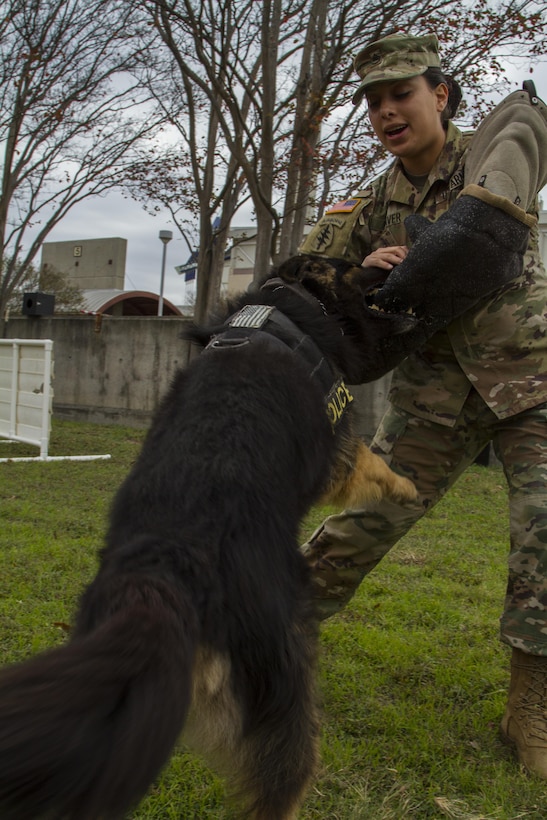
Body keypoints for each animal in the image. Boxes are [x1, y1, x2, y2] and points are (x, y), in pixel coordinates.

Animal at [0, 256, 416, 820]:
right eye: (359, 266)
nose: (399, 257)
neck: (298, 304)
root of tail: (165, 568)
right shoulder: (338, 449)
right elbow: (374, 462)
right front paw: (406, 488)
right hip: (286, 680)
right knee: (281, 783)